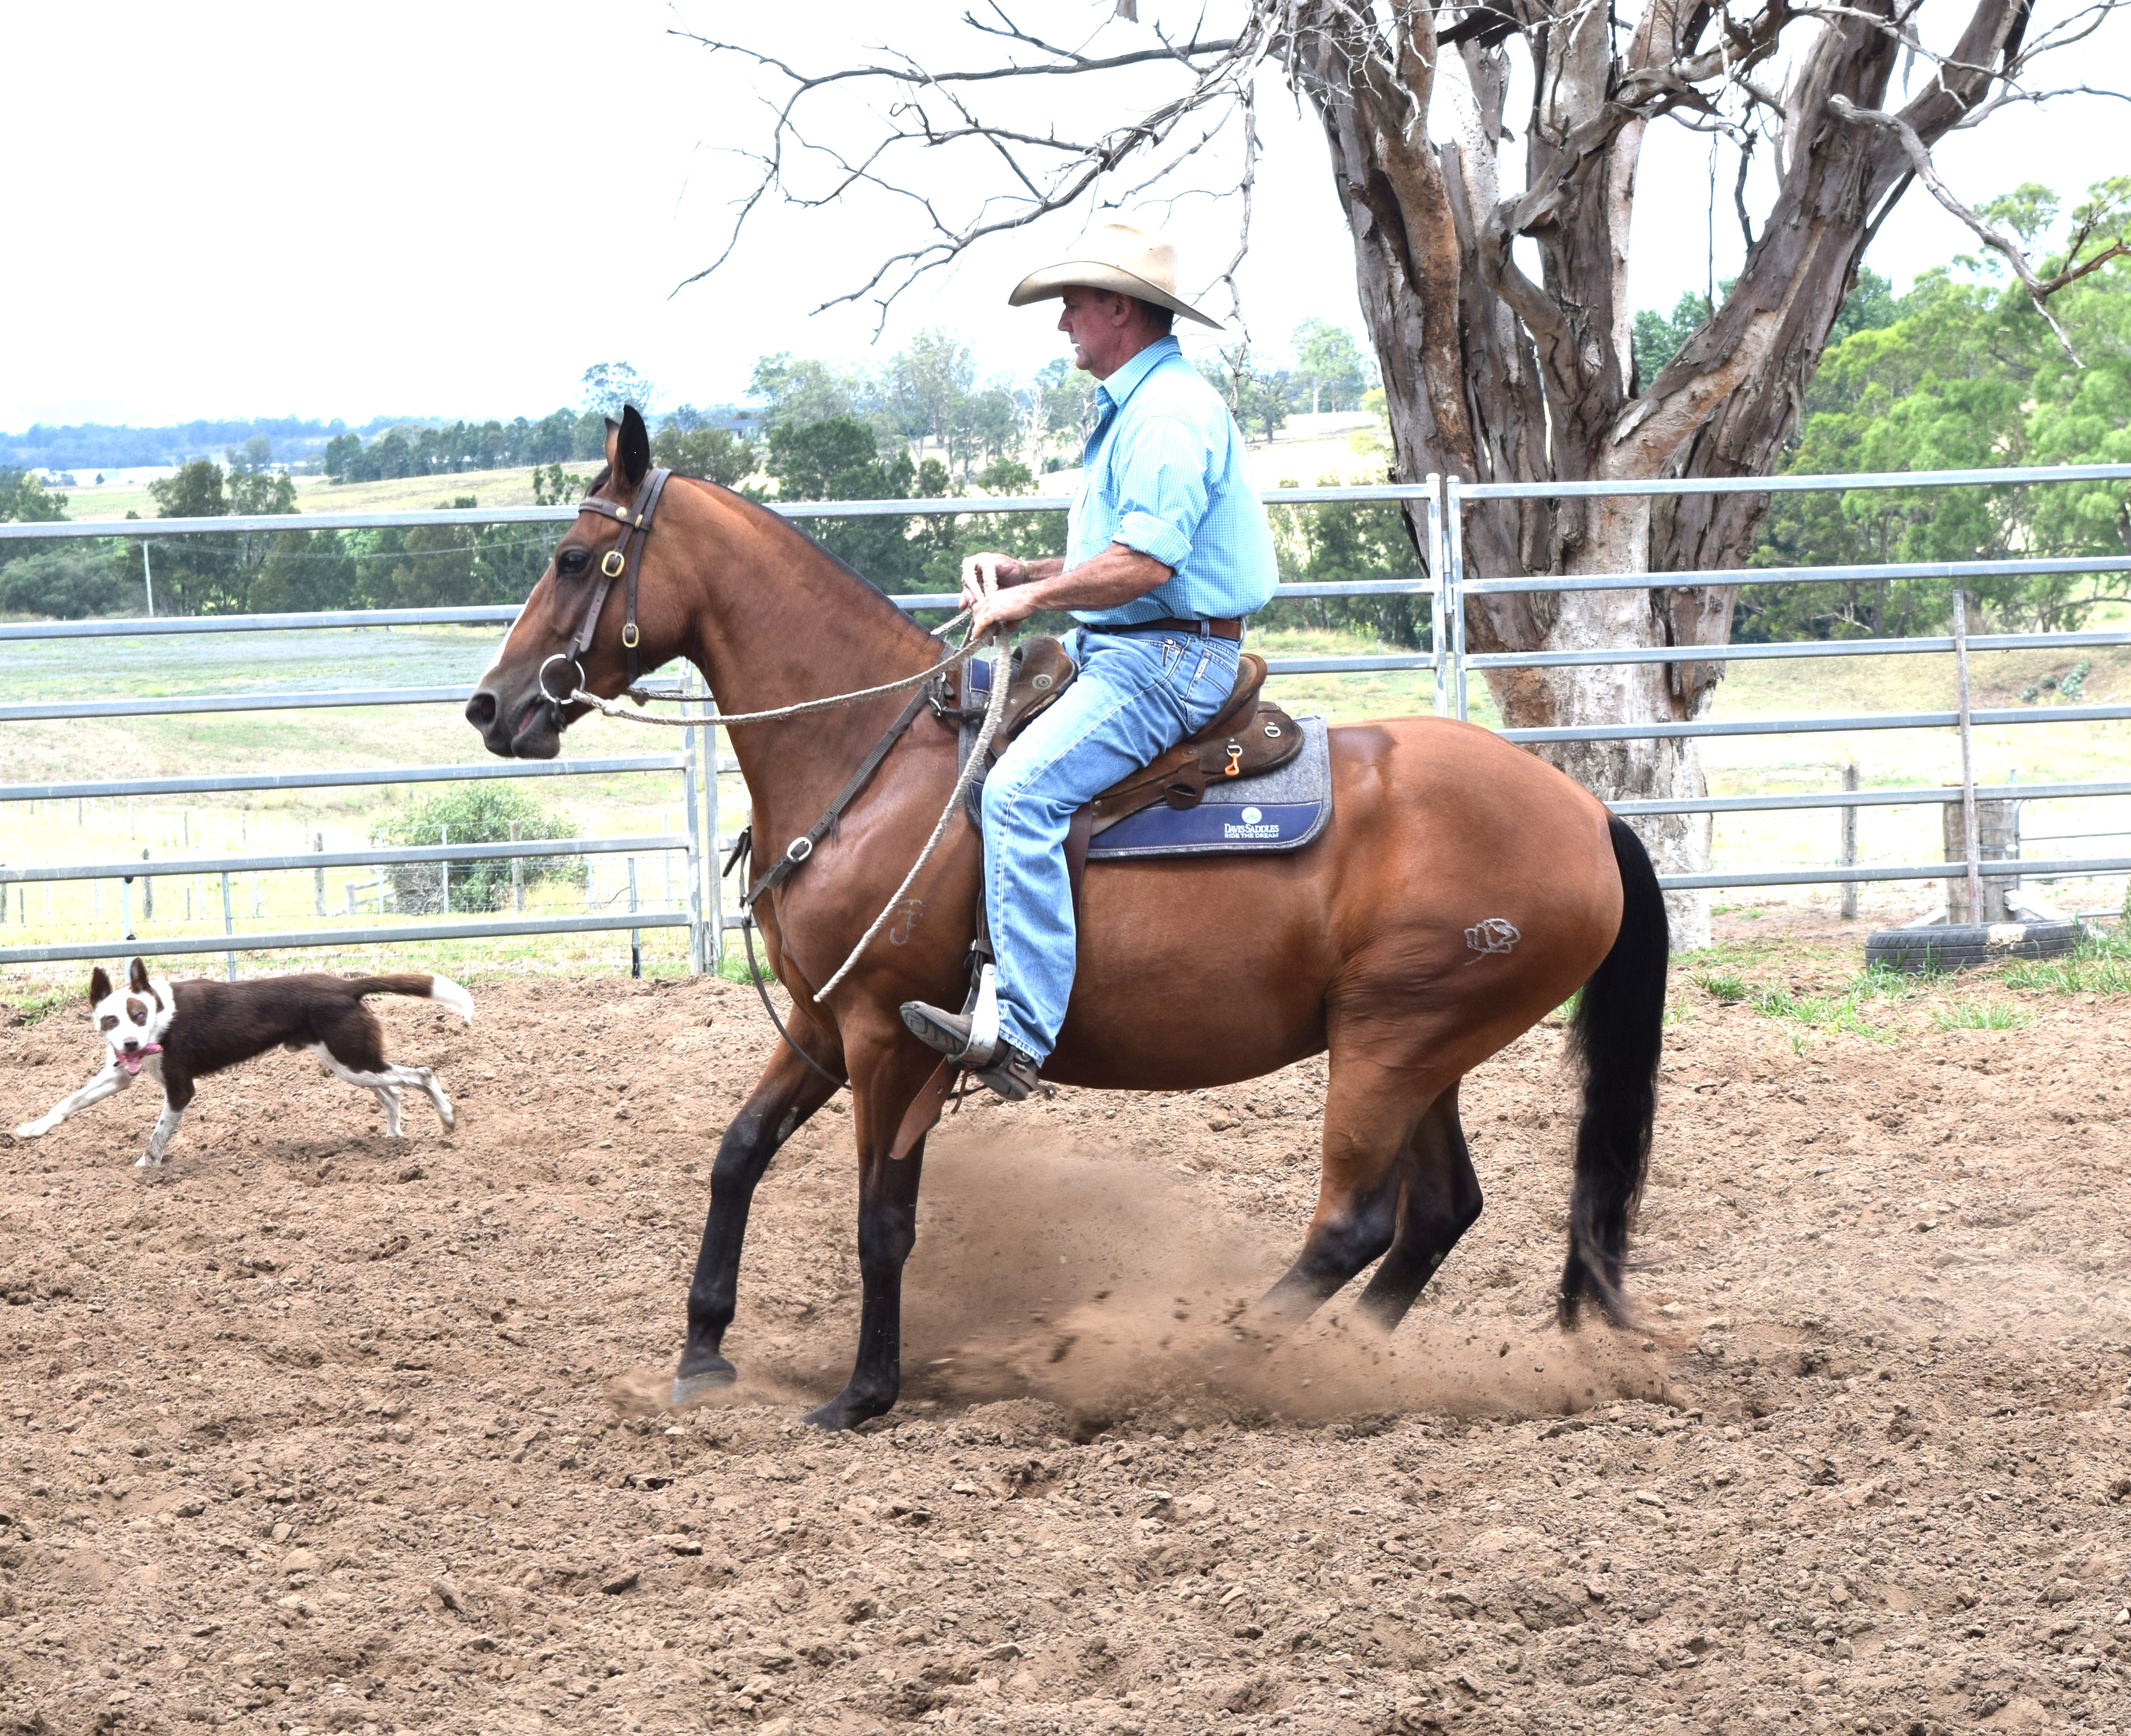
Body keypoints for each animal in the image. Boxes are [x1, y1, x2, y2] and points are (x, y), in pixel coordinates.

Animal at [13, 959, 474, 1167]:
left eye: (139, 1015)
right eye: (112, 1018)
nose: (129, 1043)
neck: (162, 1016)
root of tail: (346, 986)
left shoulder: (180, 1090)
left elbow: (157, 1135)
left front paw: (146, 1167)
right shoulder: (120, 1076)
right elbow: (68, 1101)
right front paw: (33, 1129)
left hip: (352, 1060)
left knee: (421, 1074)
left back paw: (447, 1119)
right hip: (350, 1064)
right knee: (393, 1090)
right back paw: (394, 1138)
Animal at [466, 408, 1668, 1431]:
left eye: (571, 557)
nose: (491, 705)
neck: (873, 760)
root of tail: (1586, 813)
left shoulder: (889, 1036)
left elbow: (882, 1218)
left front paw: (862, 1393)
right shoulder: (819, 1021)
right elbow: (736, 1155)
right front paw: (702, 1355)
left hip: (1391, 1041)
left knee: (1354, 1221)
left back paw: (1207, 1362)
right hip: (1419, 1045)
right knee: (1435, 1213)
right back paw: (1346, 1363)